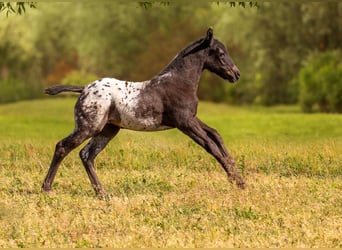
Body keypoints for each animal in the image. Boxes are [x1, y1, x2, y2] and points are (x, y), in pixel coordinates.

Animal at [42, 26, 246, 195]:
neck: (178, 82)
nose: (236, 74)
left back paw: (102, 193)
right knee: (63, 147)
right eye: (220, 53)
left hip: (108, 130)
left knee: (87, 155)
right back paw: (47, 188)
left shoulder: (191, 118)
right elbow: (210, 146)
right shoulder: (185, 123)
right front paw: (237, 180)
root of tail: (84, 88)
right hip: (89, 127)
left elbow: (216, 135)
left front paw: (239, 179)